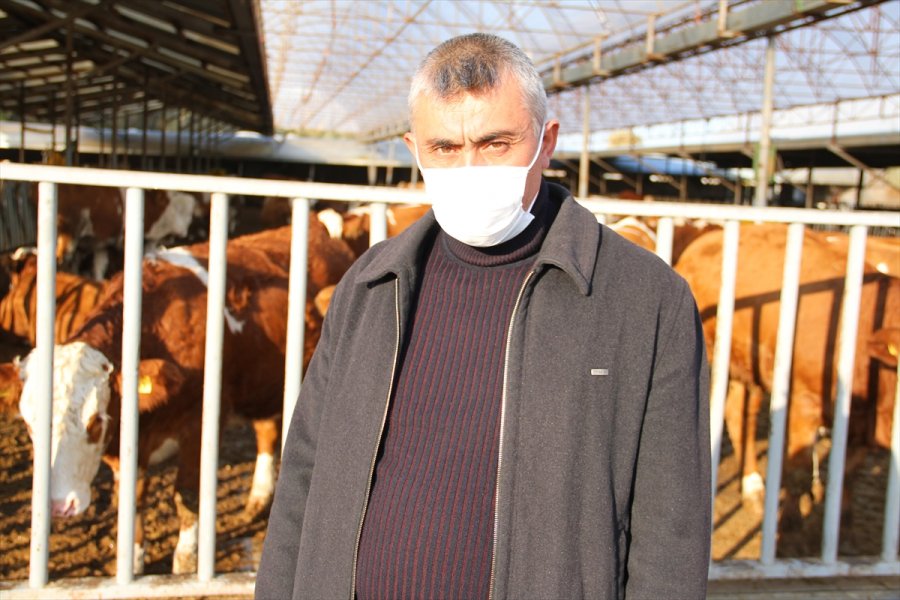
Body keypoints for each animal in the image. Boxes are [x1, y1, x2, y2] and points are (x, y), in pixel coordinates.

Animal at [14, 220, 356, 575]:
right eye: (29, 425)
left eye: (95, 422)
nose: (59, 505)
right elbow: (132, 498)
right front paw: (132, 558)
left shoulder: (200, 422)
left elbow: (187, 495)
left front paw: (186, 559)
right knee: (267, 432)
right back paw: (258, 499)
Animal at [675, 223, 899, 546]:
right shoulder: (804, 401)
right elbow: (799, 471)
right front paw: (788, 525)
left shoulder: (859, 422)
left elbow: (848, 470)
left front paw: (842, 520)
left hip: (749, 368)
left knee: (739, 415)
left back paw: (753, 487)